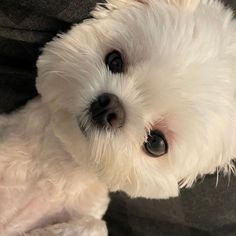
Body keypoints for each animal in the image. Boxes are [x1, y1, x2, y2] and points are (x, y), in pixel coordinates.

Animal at [0, 0, 236, 235]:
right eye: (114, 61)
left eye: (156, 143)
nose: (110, 109)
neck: (62, 164)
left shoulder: (89, 210)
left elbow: (95, 225)